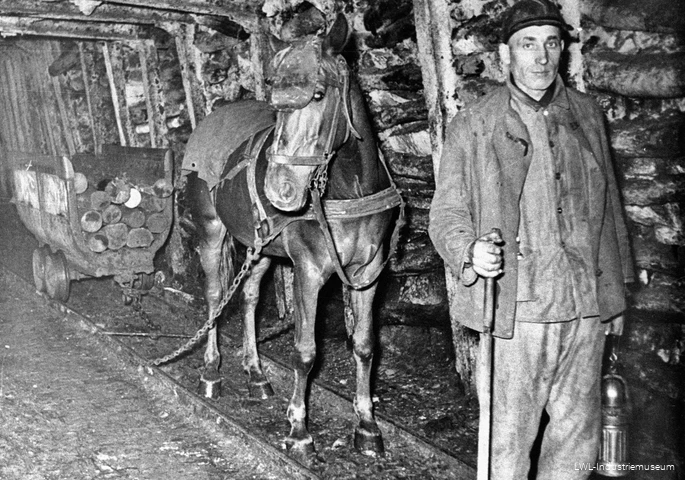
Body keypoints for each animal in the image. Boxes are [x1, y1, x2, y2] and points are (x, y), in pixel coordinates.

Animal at [182, 13, 403, 458]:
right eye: (275, 102)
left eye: (318, 94)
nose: (279, 190)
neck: (349, 188)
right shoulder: (309, 271)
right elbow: (305, 352)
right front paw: (299, 431)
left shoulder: (368, 272)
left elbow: (365, 344)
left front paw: (367, 427)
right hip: (211, 231)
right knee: (215, 297)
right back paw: (211, 374)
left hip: (260, 246)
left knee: (249, 297)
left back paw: (256, 375)